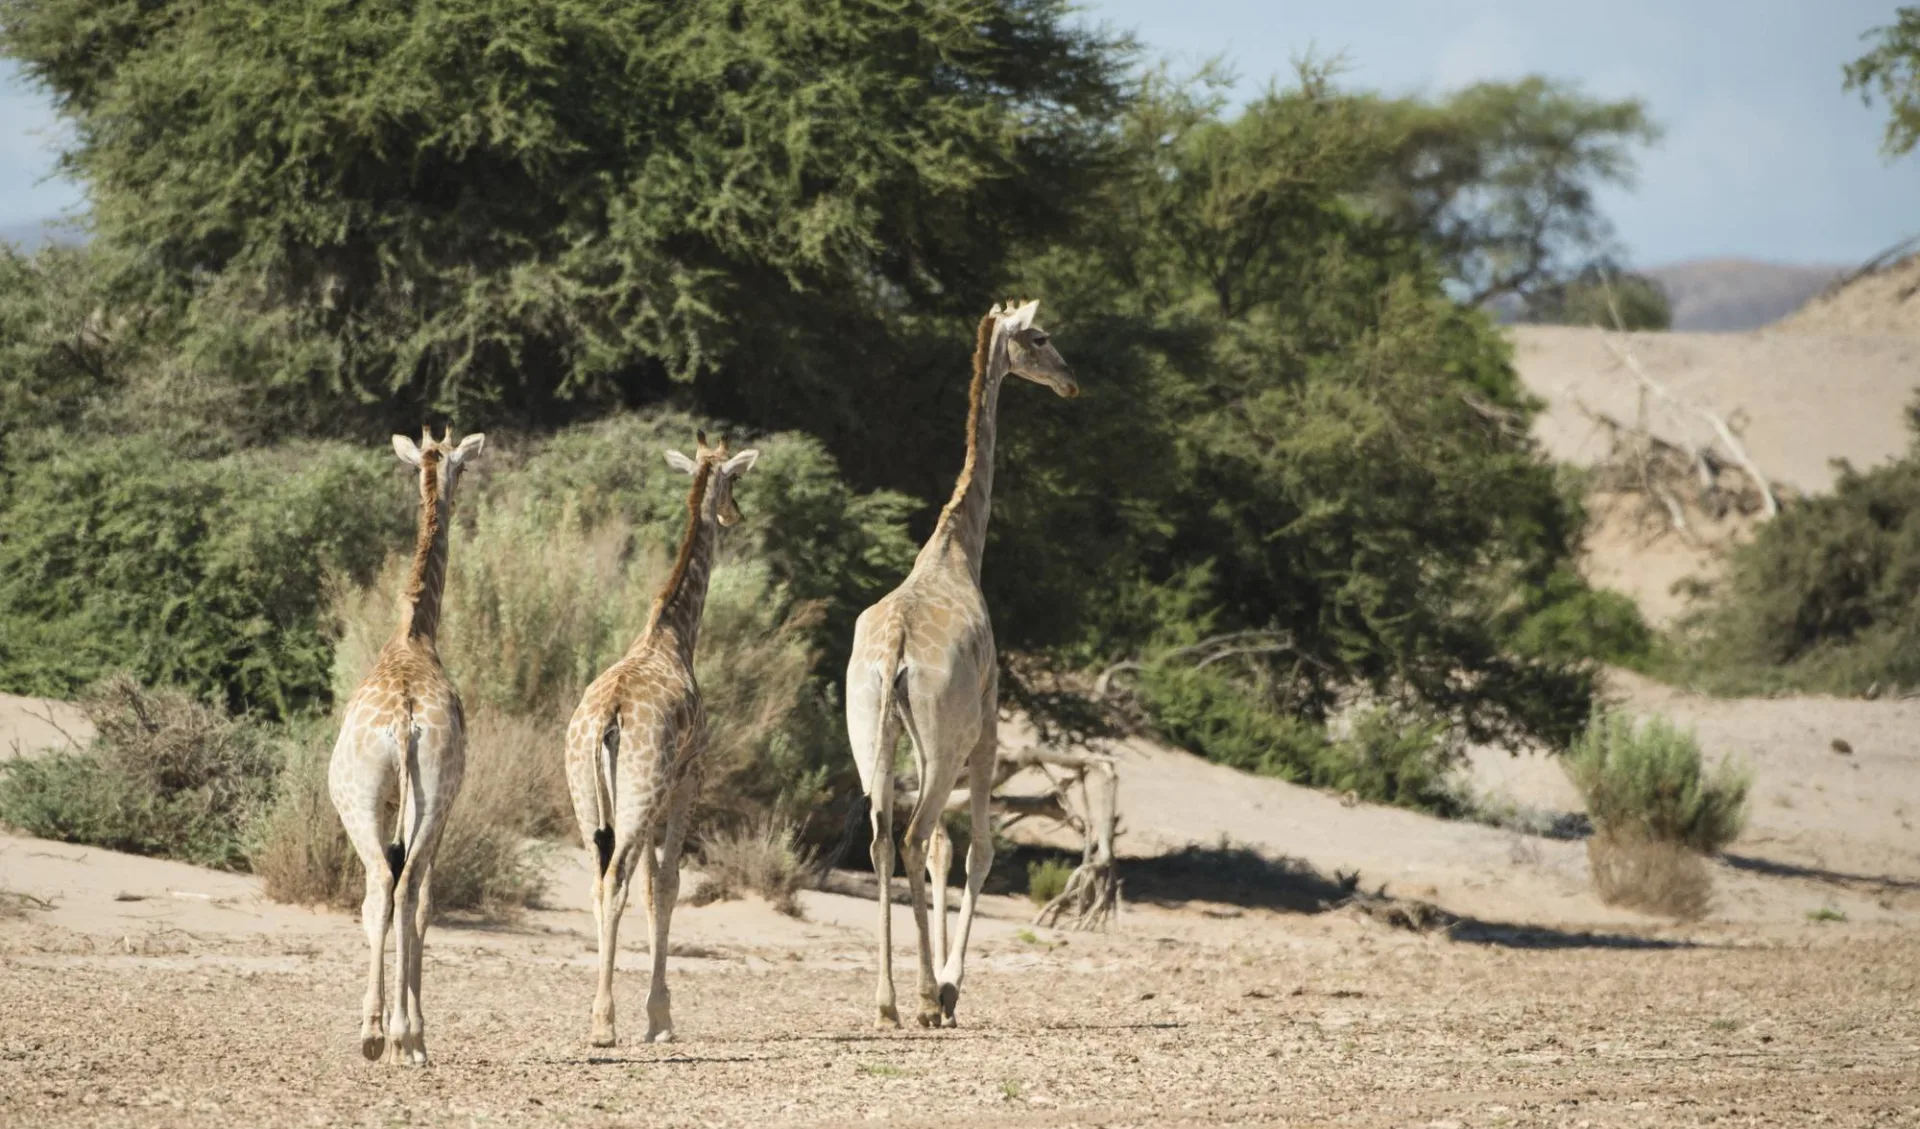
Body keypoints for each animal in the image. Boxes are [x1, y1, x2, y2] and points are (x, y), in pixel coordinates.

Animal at [560, 428, 756, 1044]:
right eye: (735, 479)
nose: (735, 514)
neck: (674, 632)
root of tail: (608, 719)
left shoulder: (653, 795)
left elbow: (652, 888)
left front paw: (655, 1015)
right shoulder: (689, 777)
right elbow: (667, 885)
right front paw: (660, 1019)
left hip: (590, 794)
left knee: (599, 881)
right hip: (642, 789)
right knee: (617, 879)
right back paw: (603, 1024)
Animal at [844, 295, 1075, 1029]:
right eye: (1040, 336)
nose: (1071, 381)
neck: (956, 548)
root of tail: (893, 651)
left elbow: (947, 847)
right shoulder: (990, 728)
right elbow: (977, 850)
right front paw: (949, 988)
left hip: (872, 731)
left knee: (882, 836)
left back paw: (887, 1000)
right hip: (944, 742)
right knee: (916, 836)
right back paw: (922, 995)